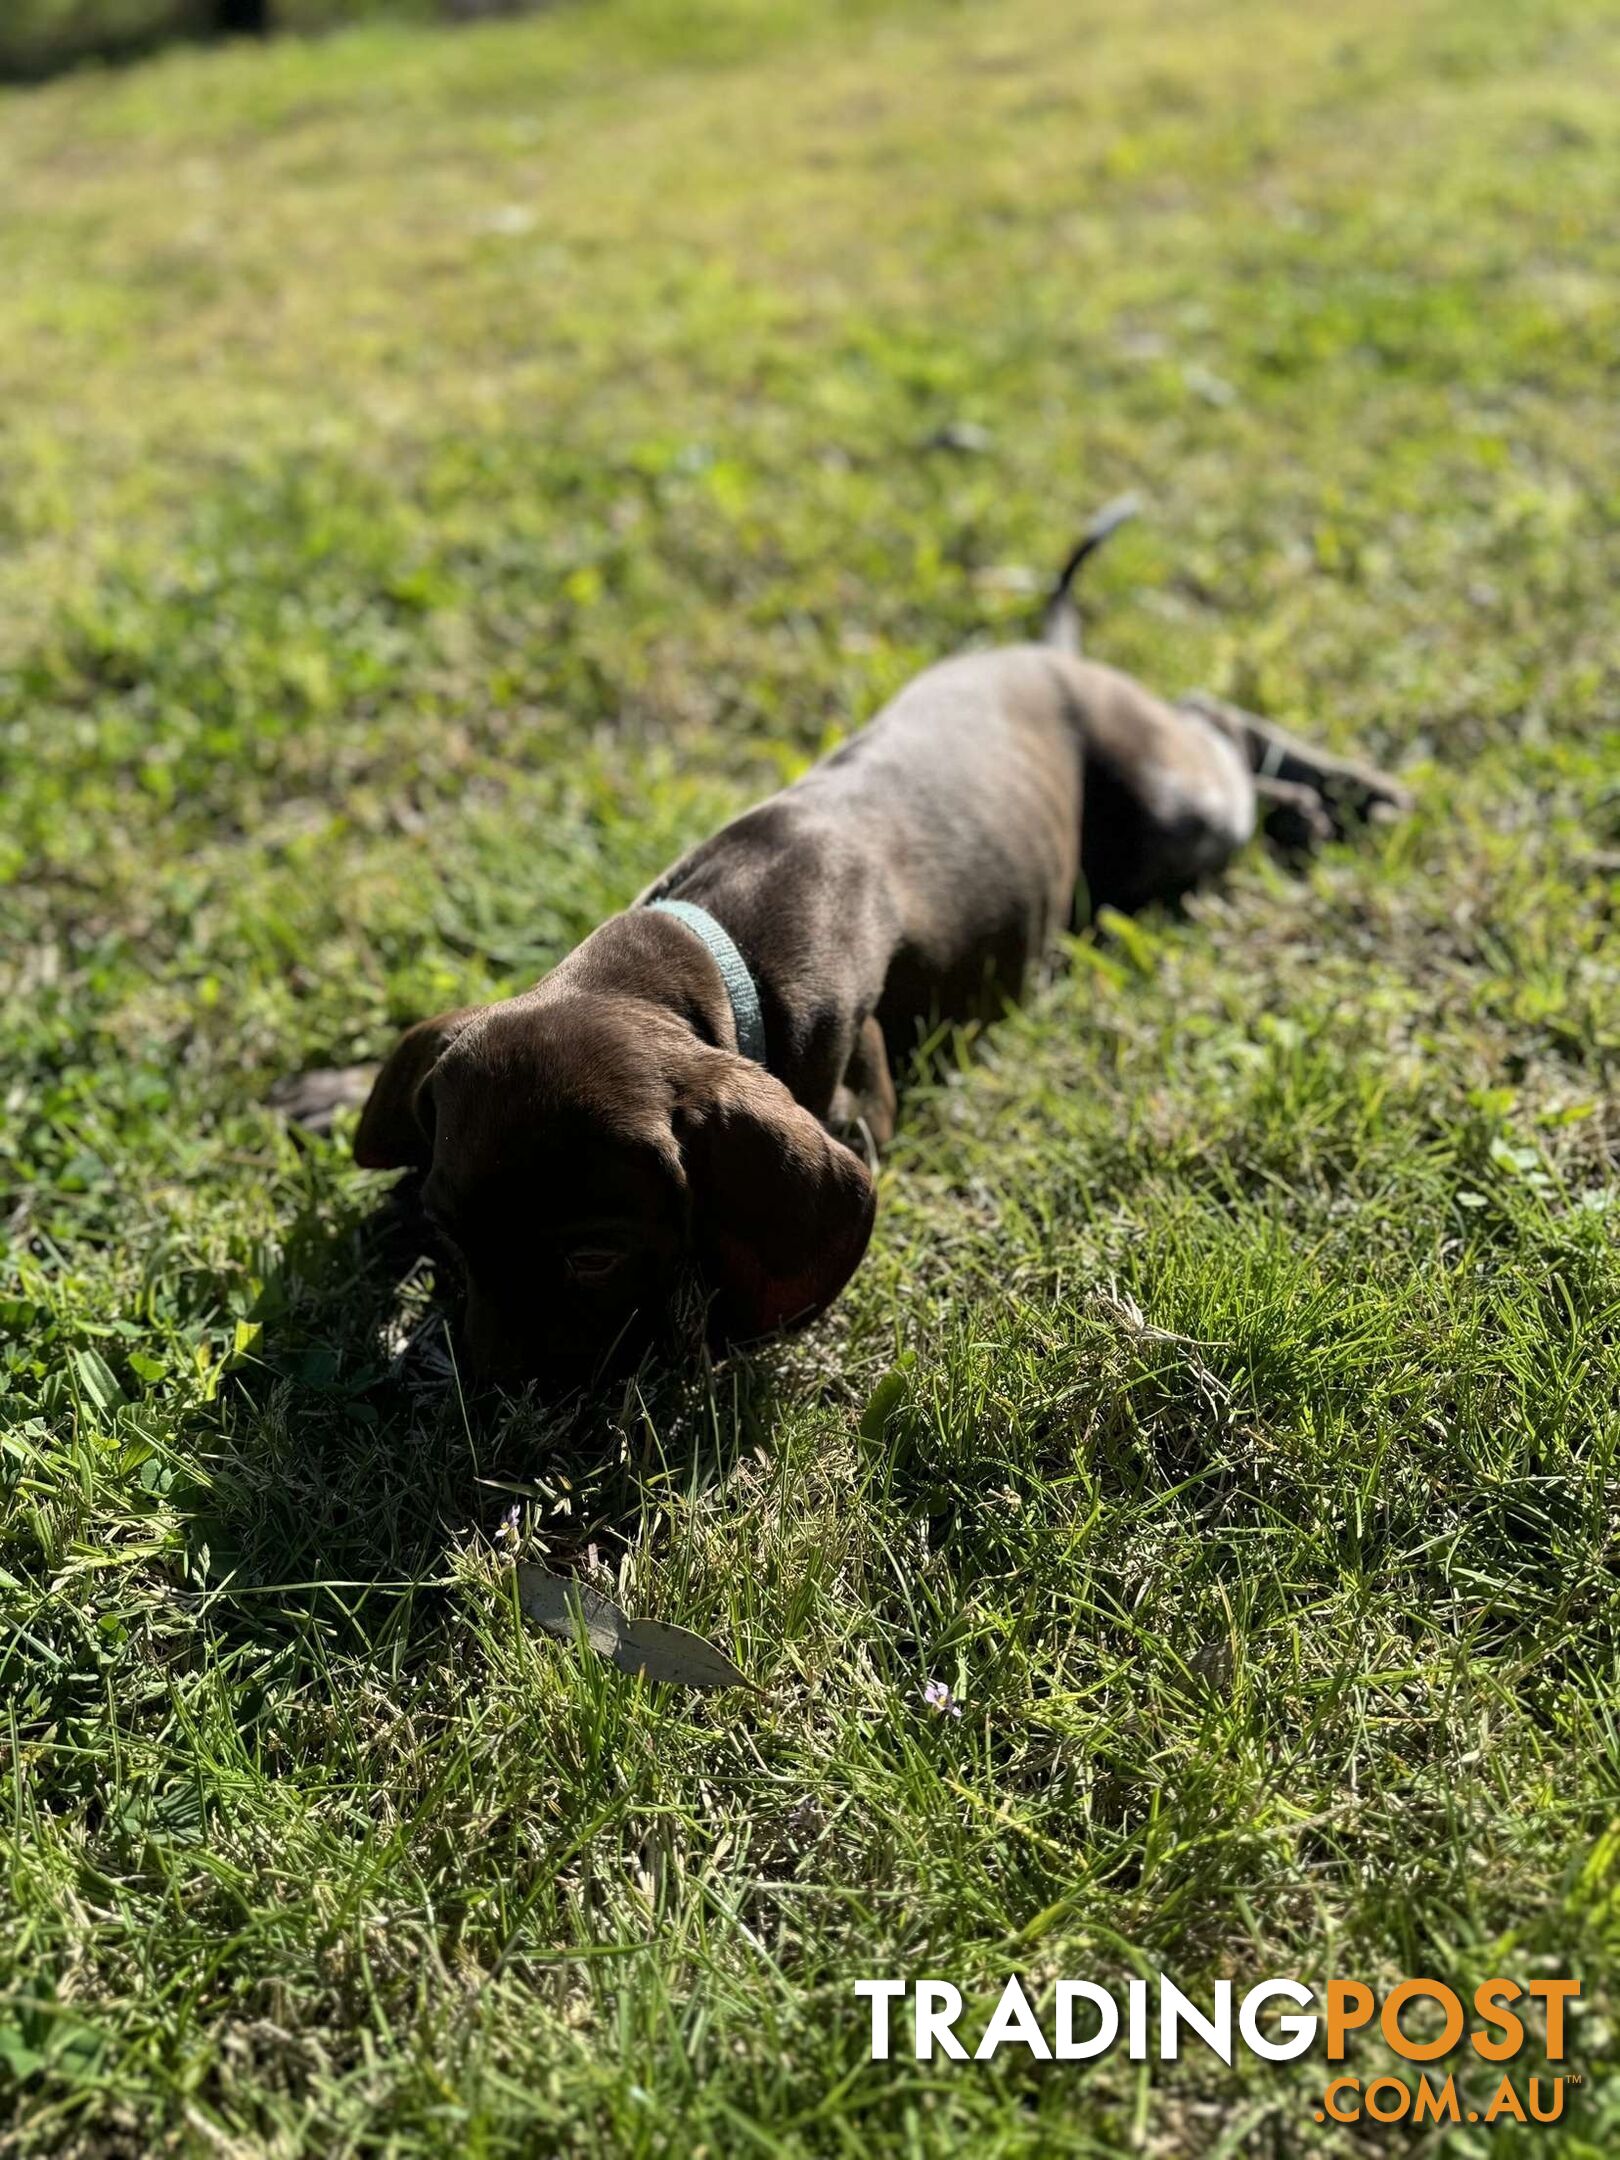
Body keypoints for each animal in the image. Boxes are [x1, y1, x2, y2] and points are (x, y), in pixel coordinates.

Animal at [354, 509, 1408, 1365]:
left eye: (594, 1255)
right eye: (451, 1237)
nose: (490, 1399)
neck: (714, 938)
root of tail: (1046, 652)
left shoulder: (855, 1110)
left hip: (1173, 815)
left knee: (1210, 718)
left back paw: (1352, 793)